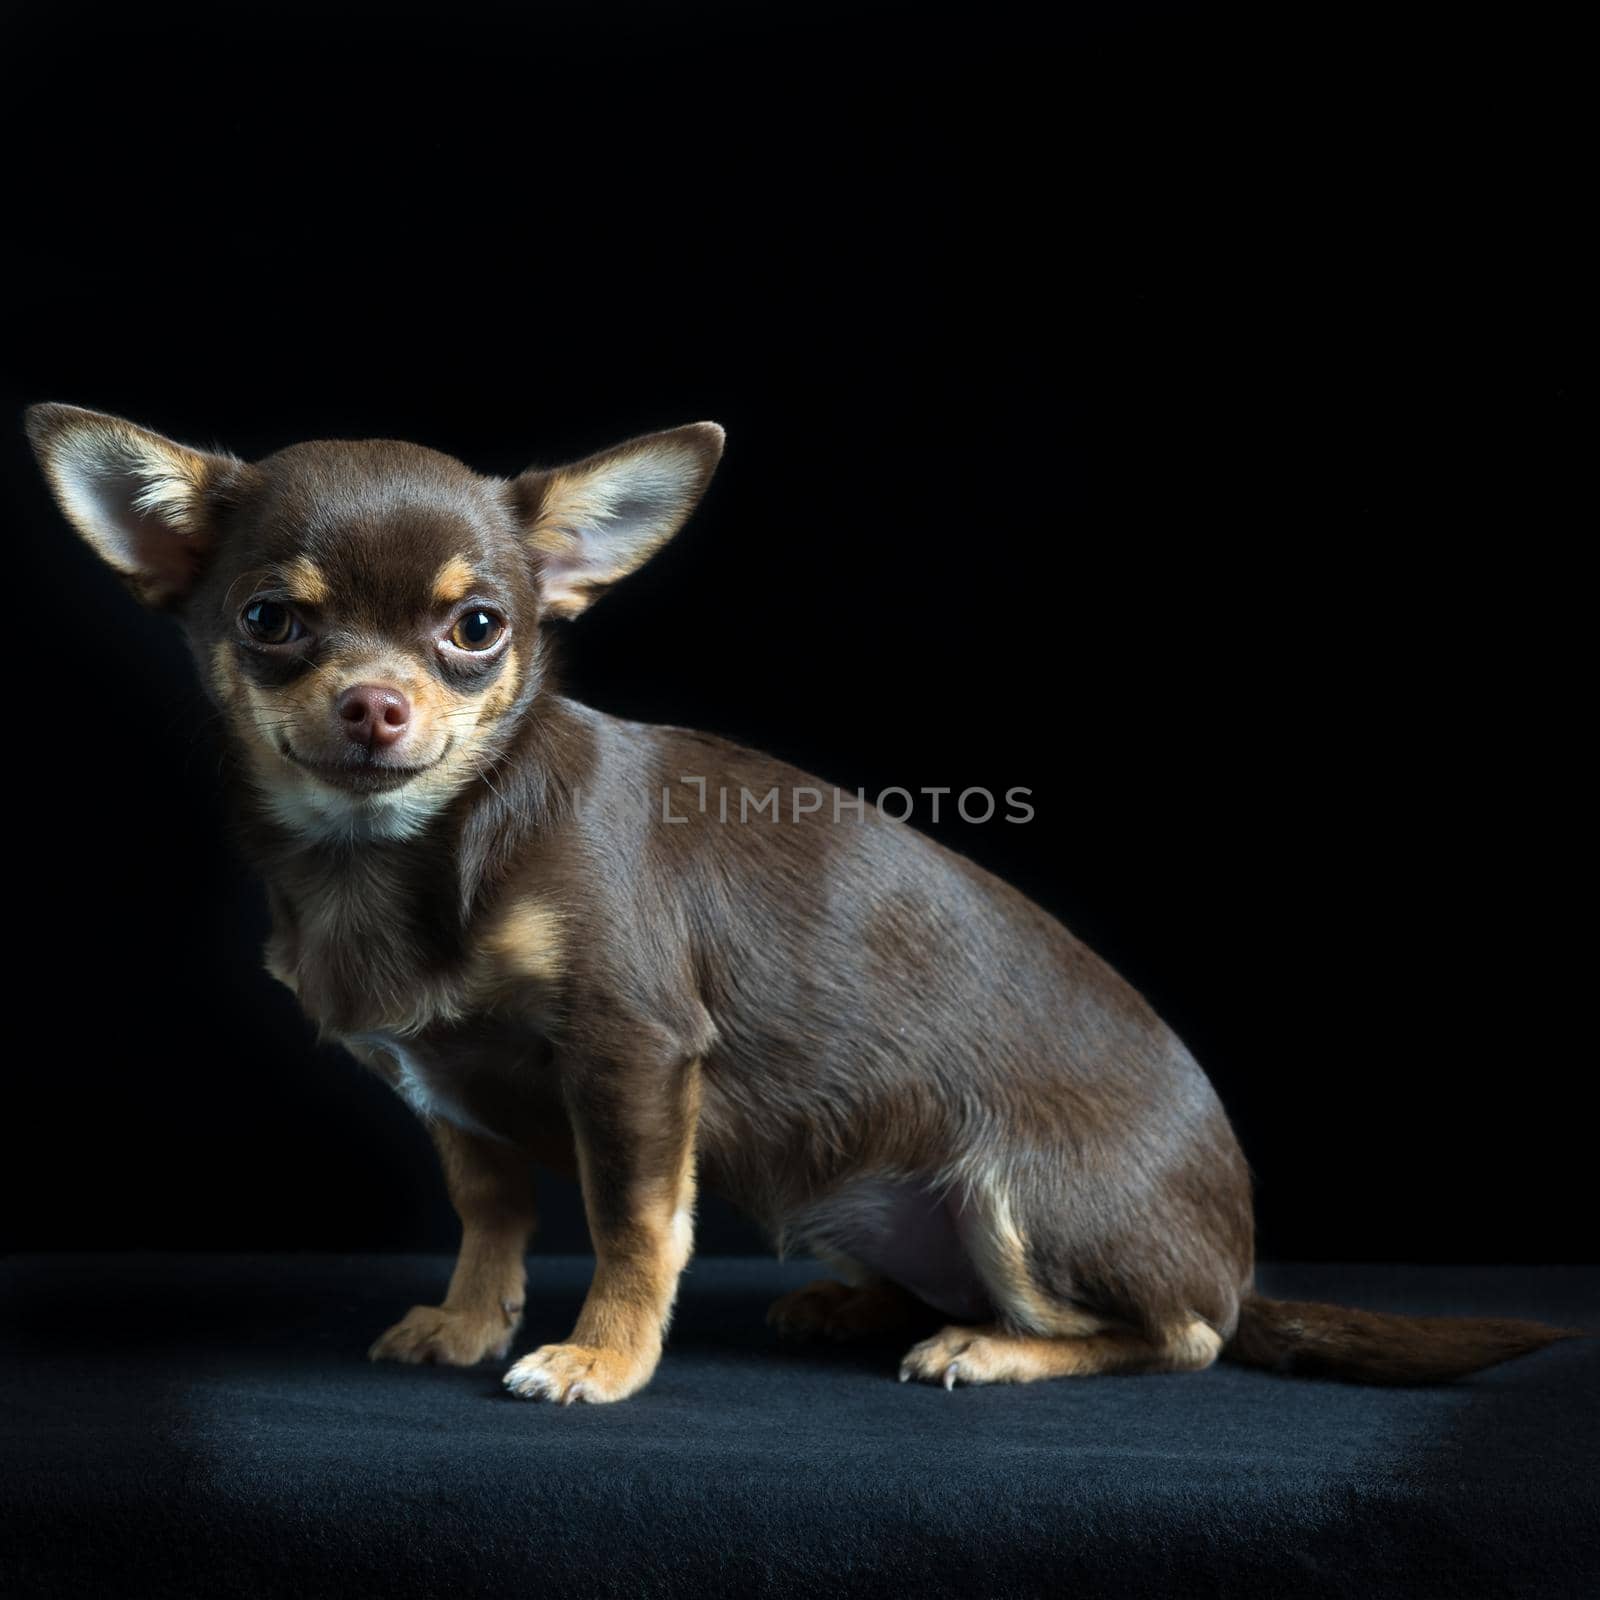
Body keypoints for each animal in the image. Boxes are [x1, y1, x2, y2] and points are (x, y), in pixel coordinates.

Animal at [25, 409, 1574, 1401]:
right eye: (268, 621)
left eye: (478, 630)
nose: (374, 704)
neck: (392, 855)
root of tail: (1241, 1262)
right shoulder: (453, 1090)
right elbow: (492, 1217)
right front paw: (469, 1323)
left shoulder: (636, 1056)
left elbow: (637, 1227)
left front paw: (602, 1358)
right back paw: (854, 1303)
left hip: (1019, 1194)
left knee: (1179, 1337)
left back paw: (993, 1347)